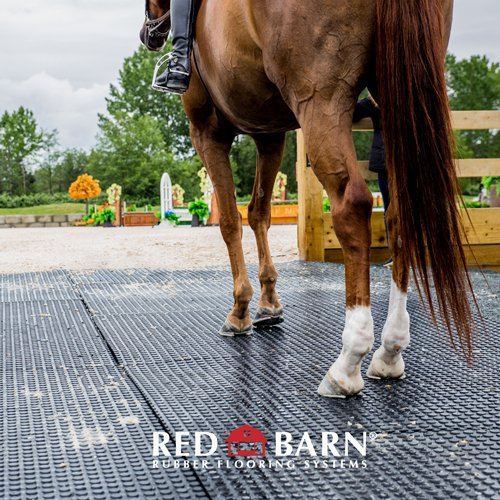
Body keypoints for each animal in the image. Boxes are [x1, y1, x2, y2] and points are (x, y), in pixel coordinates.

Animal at [140, 0, 472, 398]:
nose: (149, 34)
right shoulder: (269, 134)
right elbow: (259, 213)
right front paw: (269, 303)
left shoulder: (207, 132)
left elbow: (230, 222)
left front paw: (240, 310)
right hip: (392, 100)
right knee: (398, 213)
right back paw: (389, 351)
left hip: (319, 100)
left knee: (352, 205)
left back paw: (348, 362)